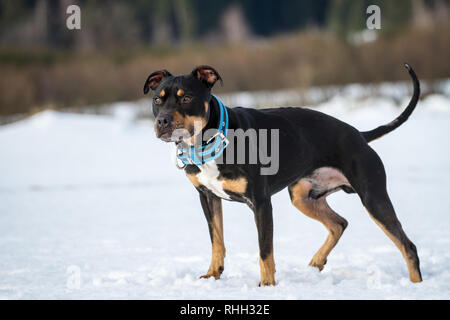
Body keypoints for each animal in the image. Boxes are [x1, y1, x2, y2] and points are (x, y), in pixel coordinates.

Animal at [143, 64, 422, 284]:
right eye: (157, 100)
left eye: (186, 98)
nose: (163, 121)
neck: (211, 140)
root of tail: (360, 135)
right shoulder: (208, 198)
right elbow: (217, 241)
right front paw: (213, 275)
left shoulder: (260, 203)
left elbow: (265, 250)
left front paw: (267, 285)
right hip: (303, 197)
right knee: (339, 223)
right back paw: (317, 261)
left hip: (373, 198)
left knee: (407, 245)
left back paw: (415, 285)